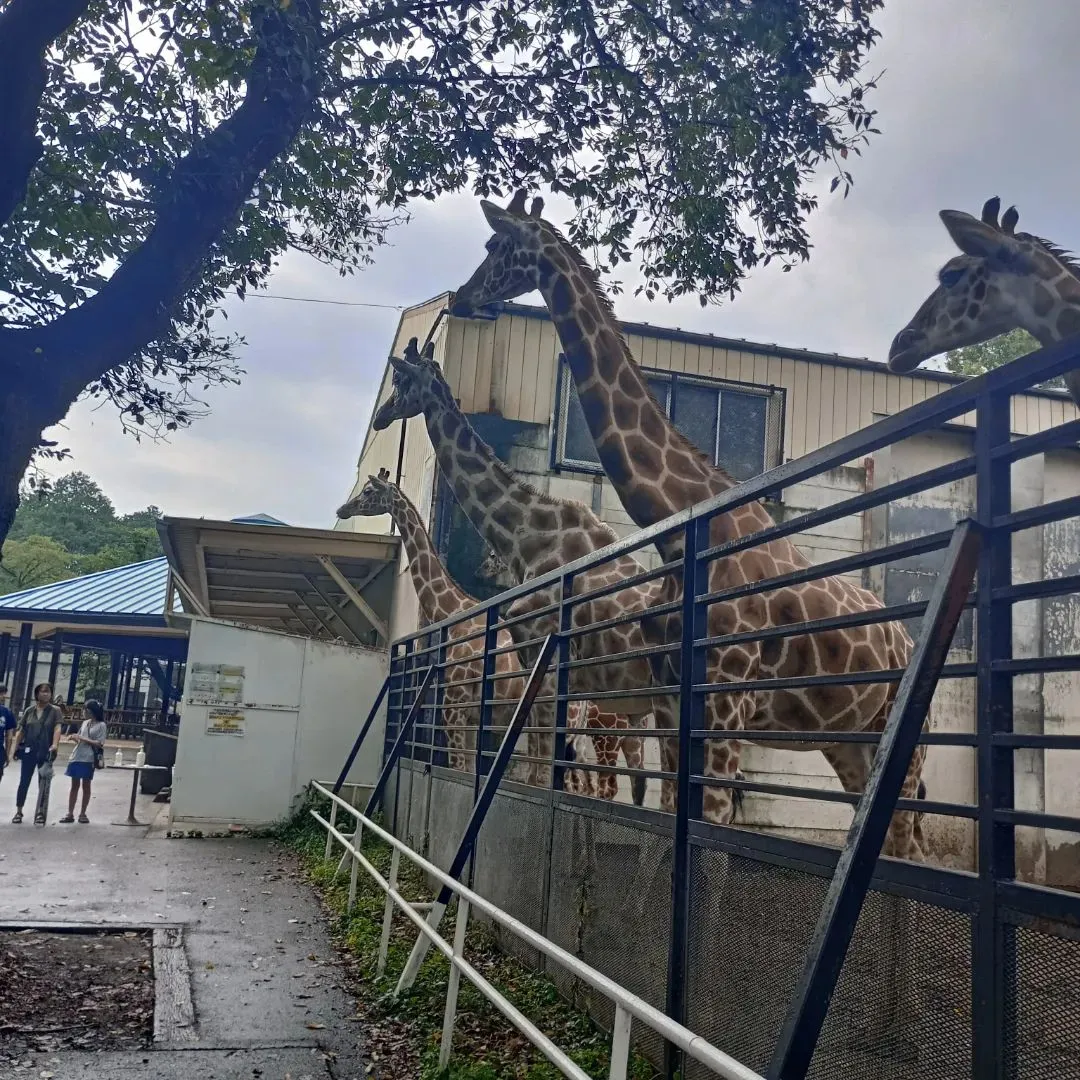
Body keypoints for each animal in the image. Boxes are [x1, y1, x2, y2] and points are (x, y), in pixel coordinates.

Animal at [332, 468, 527, 781]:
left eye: (368, 491)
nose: (342, 509)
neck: (455, 612)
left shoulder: (455, 703)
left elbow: (458, 767)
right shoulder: (470, 714)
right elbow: (469, 768)